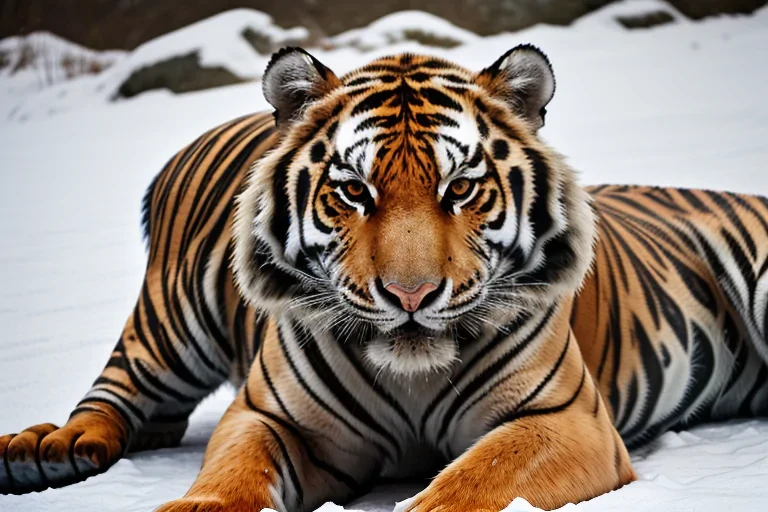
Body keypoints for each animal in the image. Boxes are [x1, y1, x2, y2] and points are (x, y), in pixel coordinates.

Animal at [2, 44, 768, 512]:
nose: (410, 296)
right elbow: (230, 476)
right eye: (354, 192)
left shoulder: (562, 418)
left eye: (461, 189)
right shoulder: (268, 415)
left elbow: (474, 481)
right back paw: (48, 451)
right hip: (168, 324)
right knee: (115, 398)